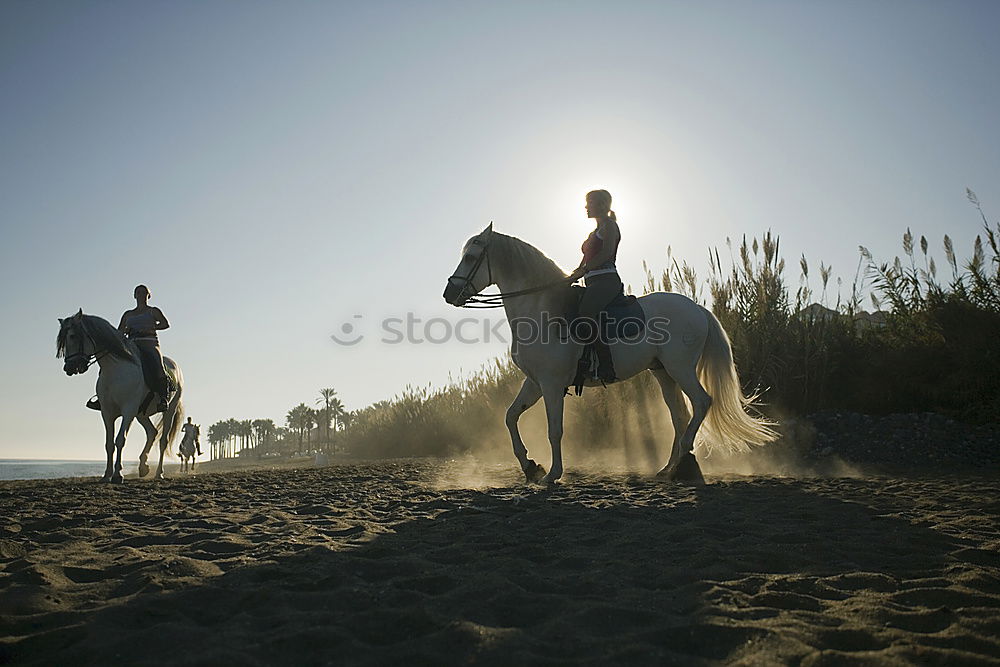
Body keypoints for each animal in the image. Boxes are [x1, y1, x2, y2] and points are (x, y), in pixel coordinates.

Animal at [57, 310, 186, 482]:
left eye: (72, 336)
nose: (69, 367)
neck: (116, 368)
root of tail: (175, 367)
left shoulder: (128, 411)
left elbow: (120, 440)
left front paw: (118, 474)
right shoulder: (107, 412)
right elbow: (109, 444)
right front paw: (106, 475)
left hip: (168, 411)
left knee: (163, 441)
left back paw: (159, 473)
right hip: (141, 414)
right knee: (152, 432)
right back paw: (143, 466)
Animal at [446, 224, 780, 486]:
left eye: (471, 257)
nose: (449, 294)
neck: (542, 310)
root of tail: (698, 308)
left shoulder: (552, 384)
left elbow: (554, 430)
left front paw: (552, 474)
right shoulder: (535, 382)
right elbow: (510, 416)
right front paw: (530, 467)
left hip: (681, 368)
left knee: (701, 402)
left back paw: (682, 464)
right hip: (663, 372)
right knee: (679, 415)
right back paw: (668, 468)